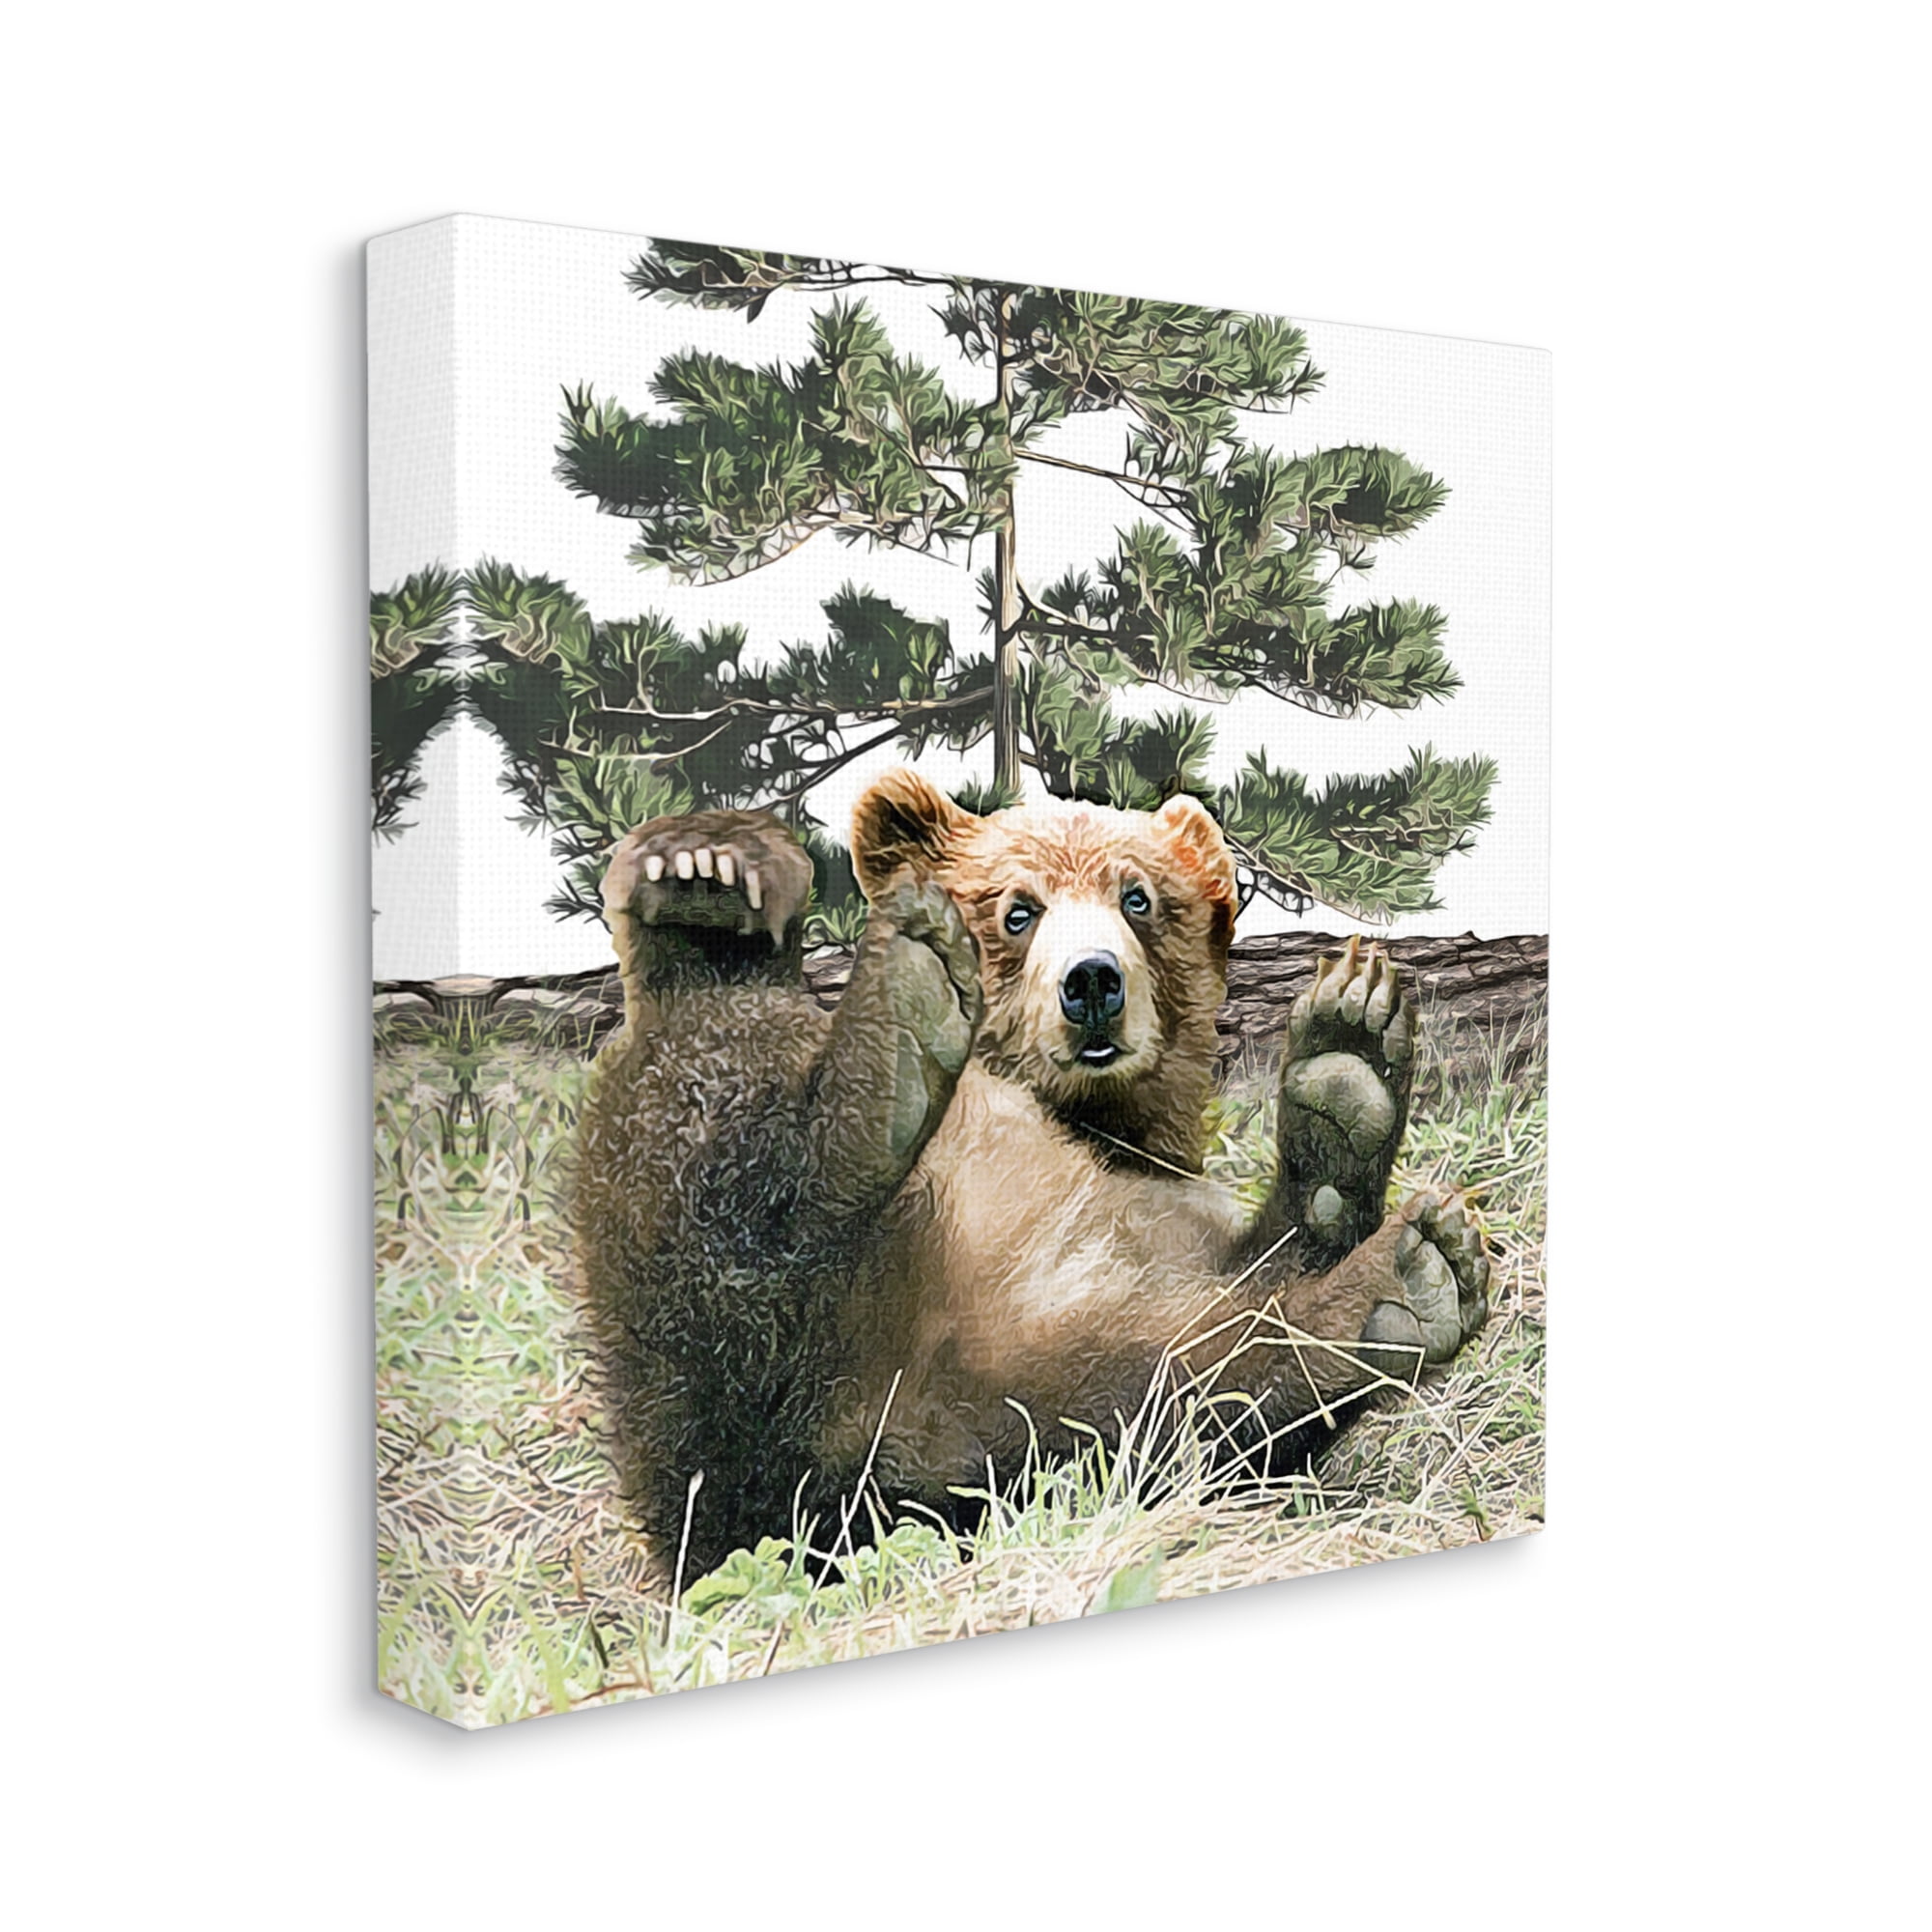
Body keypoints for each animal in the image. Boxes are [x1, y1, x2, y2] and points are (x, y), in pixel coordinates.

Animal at [572, 770, 1490, 1577]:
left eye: (1137, 897)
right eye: (1019, 909)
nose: (1093, 982)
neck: (1087, 1119)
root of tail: (859, 1420)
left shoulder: (1156, 1216)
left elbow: (1241, 1326)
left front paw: (1346, 1071)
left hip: (1001, 1407)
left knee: (1176, 1387)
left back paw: (1397, 1271)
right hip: (714, 1362)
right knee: (709, 1134)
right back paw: (745, 921)